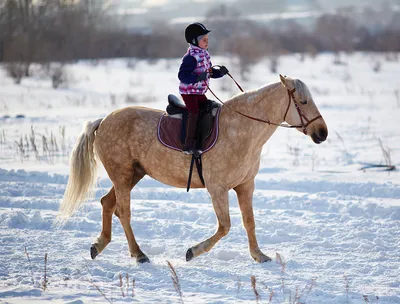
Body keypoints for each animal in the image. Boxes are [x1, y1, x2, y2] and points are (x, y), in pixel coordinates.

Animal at [58, 74, 328, 264]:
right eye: (303, 101)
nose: (322, 133)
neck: (241, 130)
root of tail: (103, 120)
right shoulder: (217, 188)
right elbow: (225, 226)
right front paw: (192, 251)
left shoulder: (245, 185)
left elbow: (248, 222)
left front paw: (259, 255)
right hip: (122, 176)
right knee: (123, 212)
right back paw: (139, 254)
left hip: (131, 175)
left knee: (107, 204)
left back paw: (99, 245)